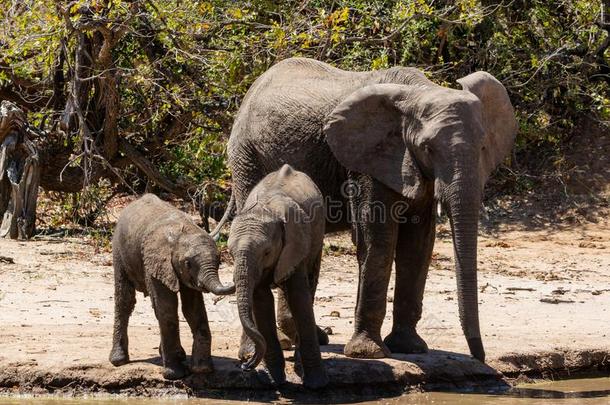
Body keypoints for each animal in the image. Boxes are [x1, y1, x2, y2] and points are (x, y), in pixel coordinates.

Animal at [108, 193, 234, 378]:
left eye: (219, 262)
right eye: (188, 263)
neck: (182, 233)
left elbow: (192, 308)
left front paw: (202, 369)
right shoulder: (156, 262)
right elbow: (167, 306)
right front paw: (175, 375)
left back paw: (178, 354)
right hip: (119, 250)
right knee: (125, 301)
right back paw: (118, 361)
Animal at [214, 56, 512, 360]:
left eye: (484, 147)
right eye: (427, 148)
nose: (480, 358)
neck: (421, 90)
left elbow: (417, 244)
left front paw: (410, 348)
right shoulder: (366, 161)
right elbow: (377, 238)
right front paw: (368, 352)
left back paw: (308, 338)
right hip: (246, 157)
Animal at [227, 164, 328, 388]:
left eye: (266, 252)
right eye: (230, 254)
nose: (245, 366)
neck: (265, 208)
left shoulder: (295, 243)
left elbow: (299, 297)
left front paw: (316, 384)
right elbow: (261, 301)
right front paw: (274, 381)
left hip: (316, 237)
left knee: (310, 280)